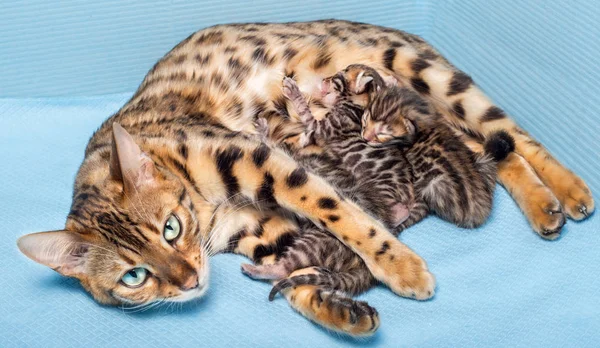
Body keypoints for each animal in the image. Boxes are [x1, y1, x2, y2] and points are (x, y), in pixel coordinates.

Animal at [245, 65, 516, 300]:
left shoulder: (323, 127)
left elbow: (303, 119)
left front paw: (290, 97)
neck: (359, 105)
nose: (323, 79)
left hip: (325, 236)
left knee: (289, 264)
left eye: (338, 76)